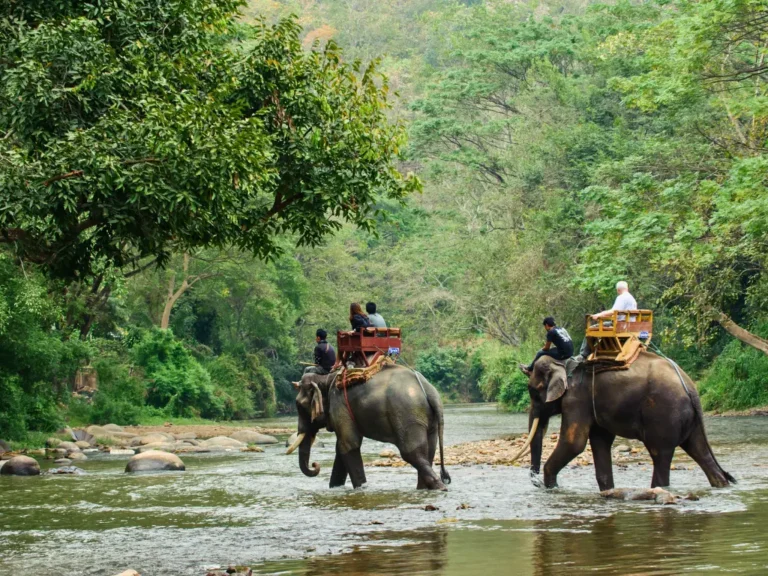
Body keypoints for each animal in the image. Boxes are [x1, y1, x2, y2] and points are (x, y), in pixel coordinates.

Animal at [287, 364, 451, 490]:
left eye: (299, 406)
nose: (315, 464)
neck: (326, 378)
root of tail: (430, 391)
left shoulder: (340, 406)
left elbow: (349, 445)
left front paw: (361, 488)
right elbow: (341, 448)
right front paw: (335, 488)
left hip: (408, 415)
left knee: (411, 453)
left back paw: (440, 487)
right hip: (427, 419)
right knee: (428, 451)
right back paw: (425, 489)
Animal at [514, 353, 735, 490]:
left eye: (533, 392)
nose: (536, 482)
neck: (562, 362)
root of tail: (691, 388)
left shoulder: (576, 399)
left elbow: (573, 443)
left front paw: (553, 487)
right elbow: (600, 441)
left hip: (663, 415)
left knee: (660, 454)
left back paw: (658, 489)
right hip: (690, 420)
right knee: (699, 451)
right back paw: (721, 484)